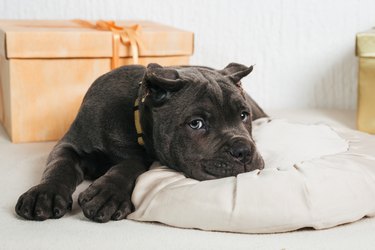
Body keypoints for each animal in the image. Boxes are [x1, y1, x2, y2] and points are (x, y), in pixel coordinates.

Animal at [14, 62, 268, 223]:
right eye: (196, 123)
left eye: (243, 116)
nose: (243, 151)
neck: (133, 113)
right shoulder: (70, 144)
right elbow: (59, 165)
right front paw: (45, 193)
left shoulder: (139, 157)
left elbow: (127, 168)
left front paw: (108, 194)